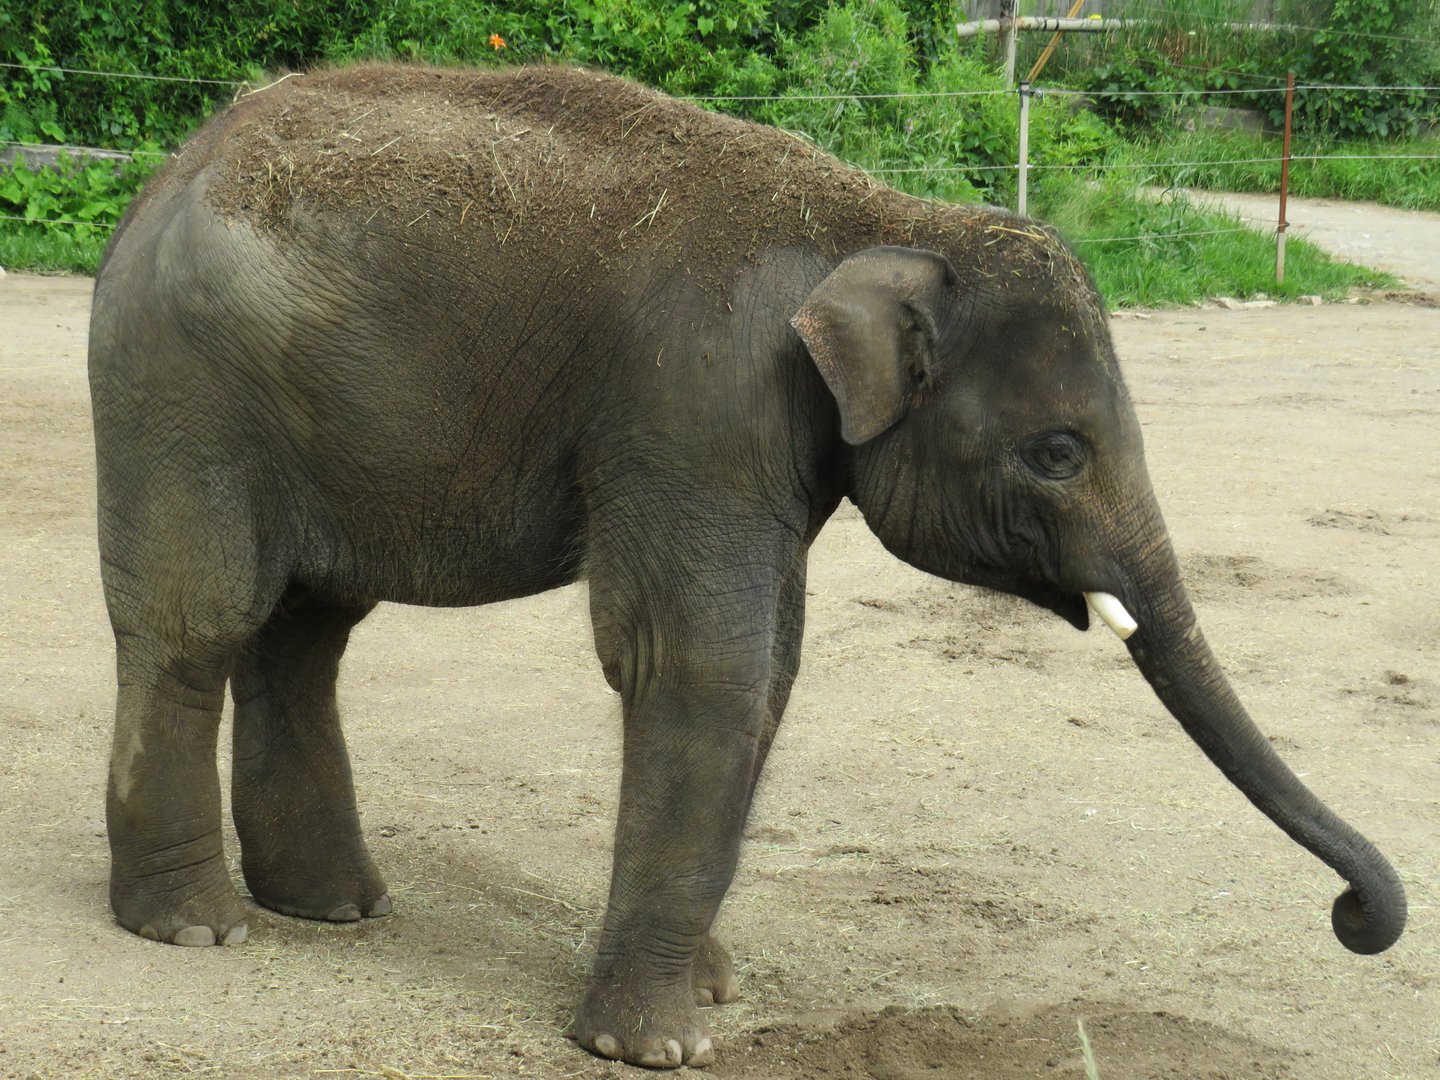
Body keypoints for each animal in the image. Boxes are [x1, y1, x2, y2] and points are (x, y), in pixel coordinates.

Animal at [87, 64, 1405, 1069]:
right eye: (1059, 453)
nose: (1355, 918)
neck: (878, 221)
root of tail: (160, 181)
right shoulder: (698, 405)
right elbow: (697, 666)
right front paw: (655, 1045)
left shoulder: (762, 444)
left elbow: (770, 668)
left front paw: (710, 989)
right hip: (182, 395)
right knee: (201, 626)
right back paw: (197, 931)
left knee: (308, 630)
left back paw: (333, 907)